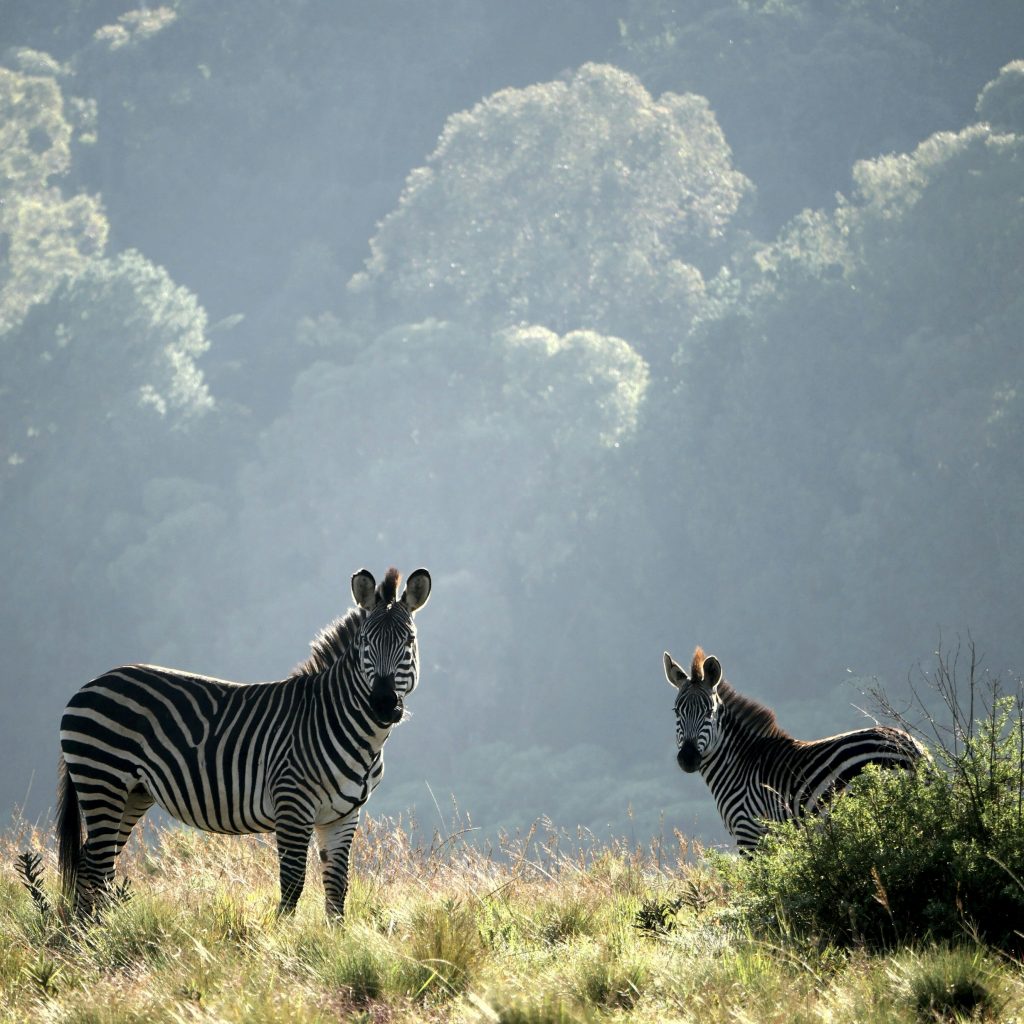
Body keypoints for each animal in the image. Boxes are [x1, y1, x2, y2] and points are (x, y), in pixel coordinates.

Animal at [57, 566, 431, 917]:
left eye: (409, 641)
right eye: (365, 643)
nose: (383, 704)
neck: (350, 730)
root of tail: (90, 684)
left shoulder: (342, 816)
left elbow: (338, 890)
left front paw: (335, 940)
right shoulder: (292, 804)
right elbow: (292, 884)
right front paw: (280, 939)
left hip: (132, 793)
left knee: (91, 863)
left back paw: (87, 932)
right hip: (102, 781)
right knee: (97, 865)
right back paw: (100, 932)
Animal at [663, 646, 924, 851]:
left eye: (710, 712)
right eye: (676, 711)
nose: (687, 759)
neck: (739, 763)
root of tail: (910, 746)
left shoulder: (749, 832)